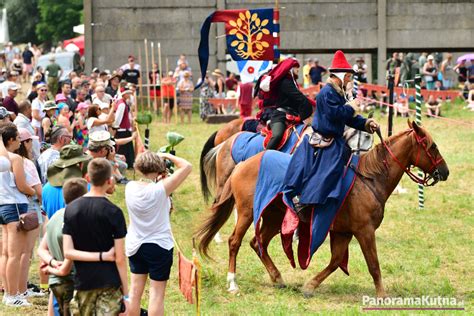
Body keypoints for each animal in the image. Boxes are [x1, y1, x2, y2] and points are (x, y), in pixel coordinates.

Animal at [195, 121, 448, 296]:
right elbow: (373, 265)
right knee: (235, 242)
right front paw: (382, 295)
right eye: (433, 146)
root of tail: (241, 164)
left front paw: (309, 285)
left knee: (258, 243)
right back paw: (232, 283)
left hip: (274, 217)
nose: (445, 172)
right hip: (248, 213)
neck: (370, 178)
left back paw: (277, 278)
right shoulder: (364, 231)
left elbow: (335, 262)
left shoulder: (343, 232)